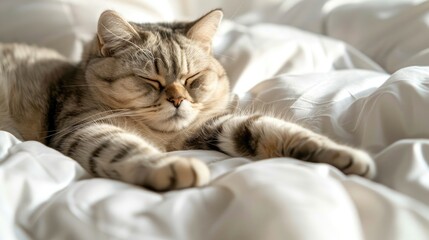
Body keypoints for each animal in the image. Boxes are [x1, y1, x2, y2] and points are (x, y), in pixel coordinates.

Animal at [0, 9, 374, 191]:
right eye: (150, 80)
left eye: (192, 79)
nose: (178, 100)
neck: (168, 139)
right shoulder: (84, 128)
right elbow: (127, 148)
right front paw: (173, 168)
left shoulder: (210, 128)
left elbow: (270, 129)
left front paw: (343, 156)